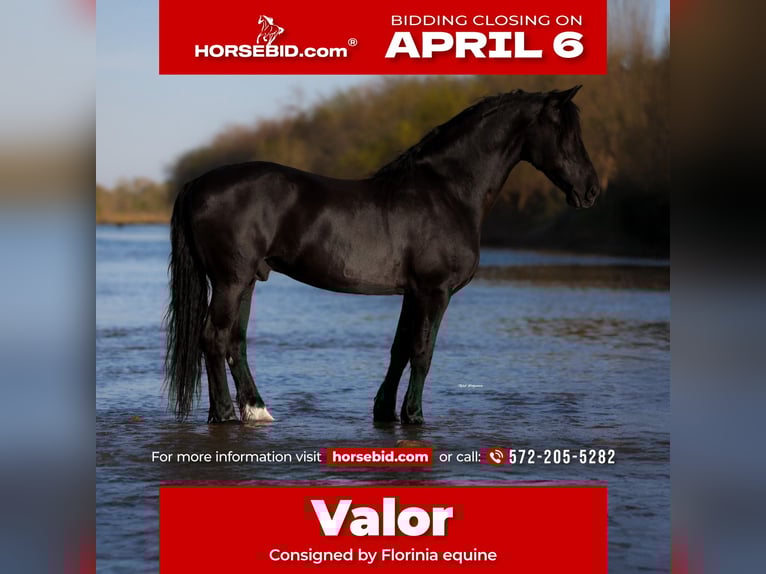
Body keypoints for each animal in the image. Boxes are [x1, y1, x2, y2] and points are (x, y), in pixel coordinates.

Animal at [164, 86, 601, 425]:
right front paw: (414, 416)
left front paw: (385, 411)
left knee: (233, 341)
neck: (446, 192)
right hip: (230, 280)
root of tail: (198, 183)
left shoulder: (413, 292)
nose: (591, 190)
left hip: (247, 280)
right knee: (214, 338)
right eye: (566, 132)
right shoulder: (435, 291)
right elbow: (422, 352)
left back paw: (254, 411)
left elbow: (400, 348)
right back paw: (224, 414)